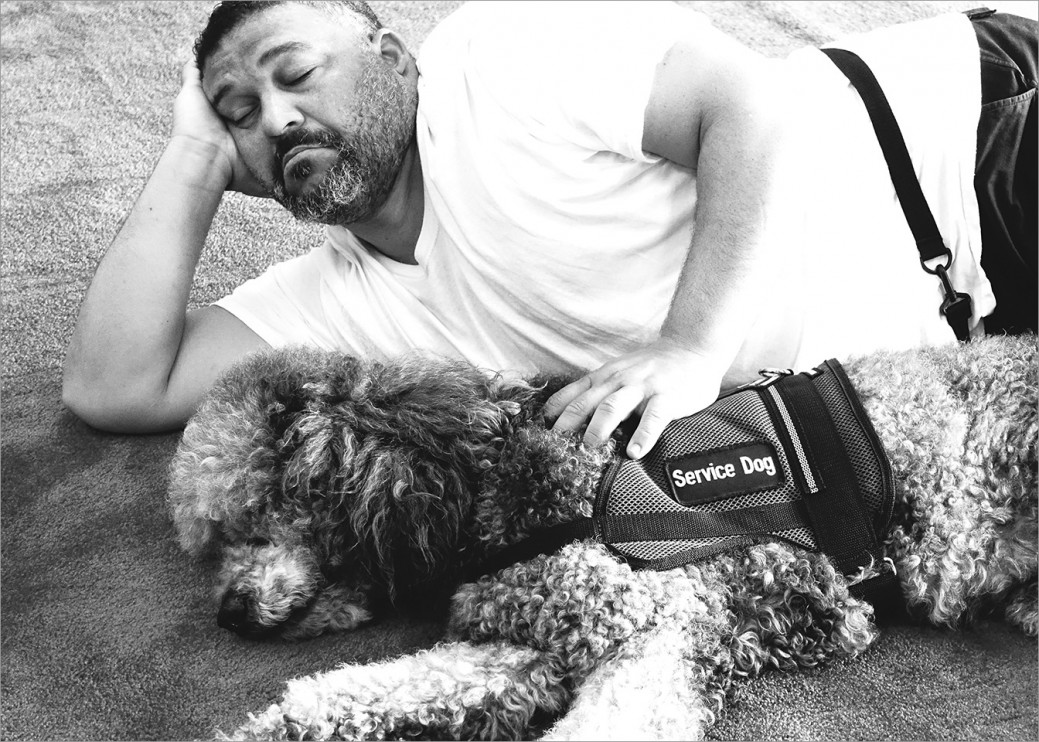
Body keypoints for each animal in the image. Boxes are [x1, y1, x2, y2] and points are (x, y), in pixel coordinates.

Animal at [166, 336, 1034, 739]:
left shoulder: (653, 633)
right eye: (214, 542)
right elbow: (358, 692)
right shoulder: (529, 644)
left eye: (253, 514)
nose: (228, 613)